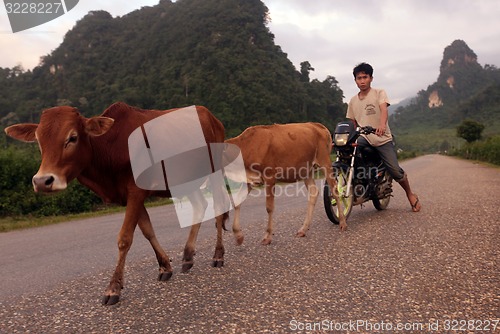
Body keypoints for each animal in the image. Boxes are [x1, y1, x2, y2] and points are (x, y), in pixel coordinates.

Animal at [3, 102, 227, 306]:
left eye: (72, 137)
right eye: (39, 141)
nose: (42, 181)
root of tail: (212, 116)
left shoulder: (135, 191)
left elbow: (125, 239)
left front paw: (113, 288)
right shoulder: (129, 195)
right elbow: (147, 231)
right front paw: (165, 266)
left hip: (214, 169)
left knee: (218, 209)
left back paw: (218, 256)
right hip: (185, 179)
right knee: (200, 206)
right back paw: (188, 257)